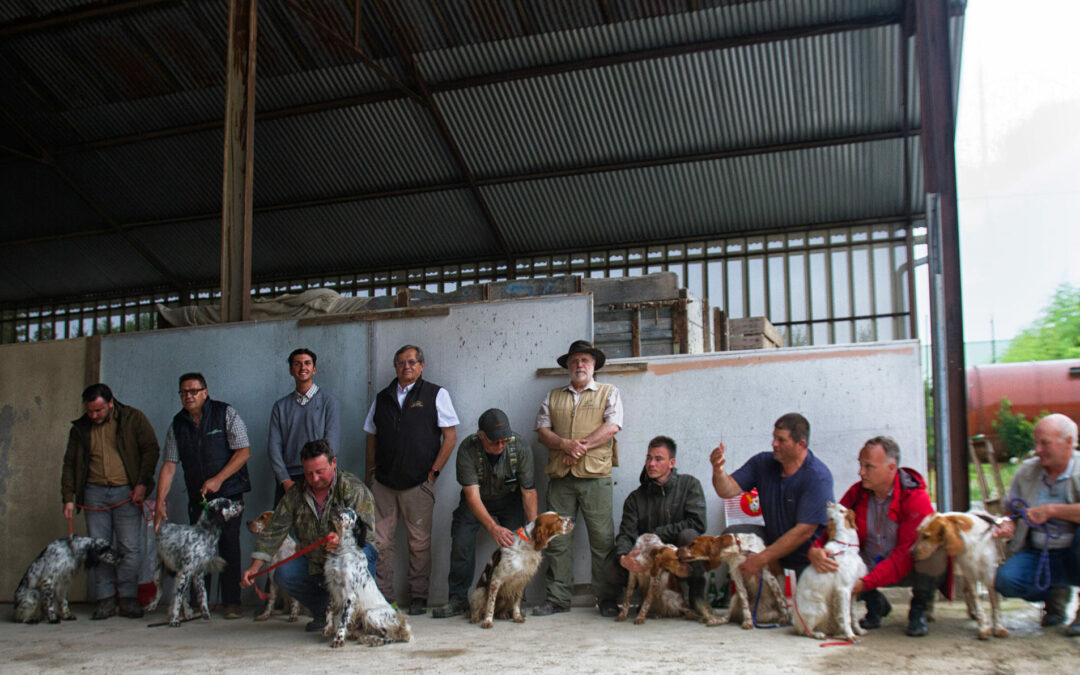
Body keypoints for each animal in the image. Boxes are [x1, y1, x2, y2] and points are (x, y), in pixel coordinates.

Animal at [321, 505, 410, 648]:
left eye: (349, 511)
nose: (334, 505)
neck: (342, 552)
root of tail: (400, 622)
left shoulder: (349, 595)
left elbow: (343, 620)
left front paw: (338, 638)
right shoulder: (333, 588)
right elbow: (329, 609)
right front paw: (327, 627)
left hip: (370, 613)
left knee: (390, 636)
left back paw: (375, 640)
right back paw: (367, 638)